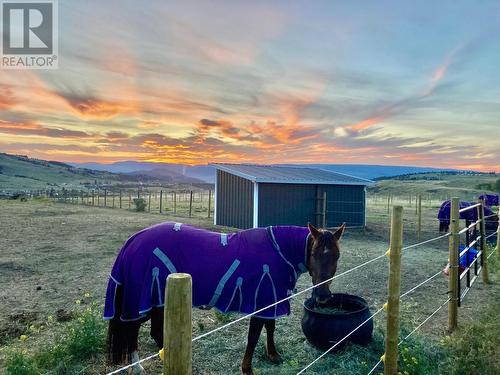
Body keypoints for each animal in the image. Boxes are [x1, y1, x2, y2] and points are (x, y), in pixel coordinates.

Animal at [103, 222, 342, 374]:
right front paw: (247, 369)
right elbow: (254, 336)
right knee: (131, 329)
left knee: (153, 331)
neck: (278, 251)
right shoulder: (262, 302)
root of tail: (134, 240)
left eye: (337, 256)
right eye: (313, 253)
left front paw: (273, 356)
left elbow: (270, 328)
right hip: (143, 300)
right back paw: (137, 366)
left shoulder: (269, 301)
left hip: (159, 302)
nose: (322, 296)